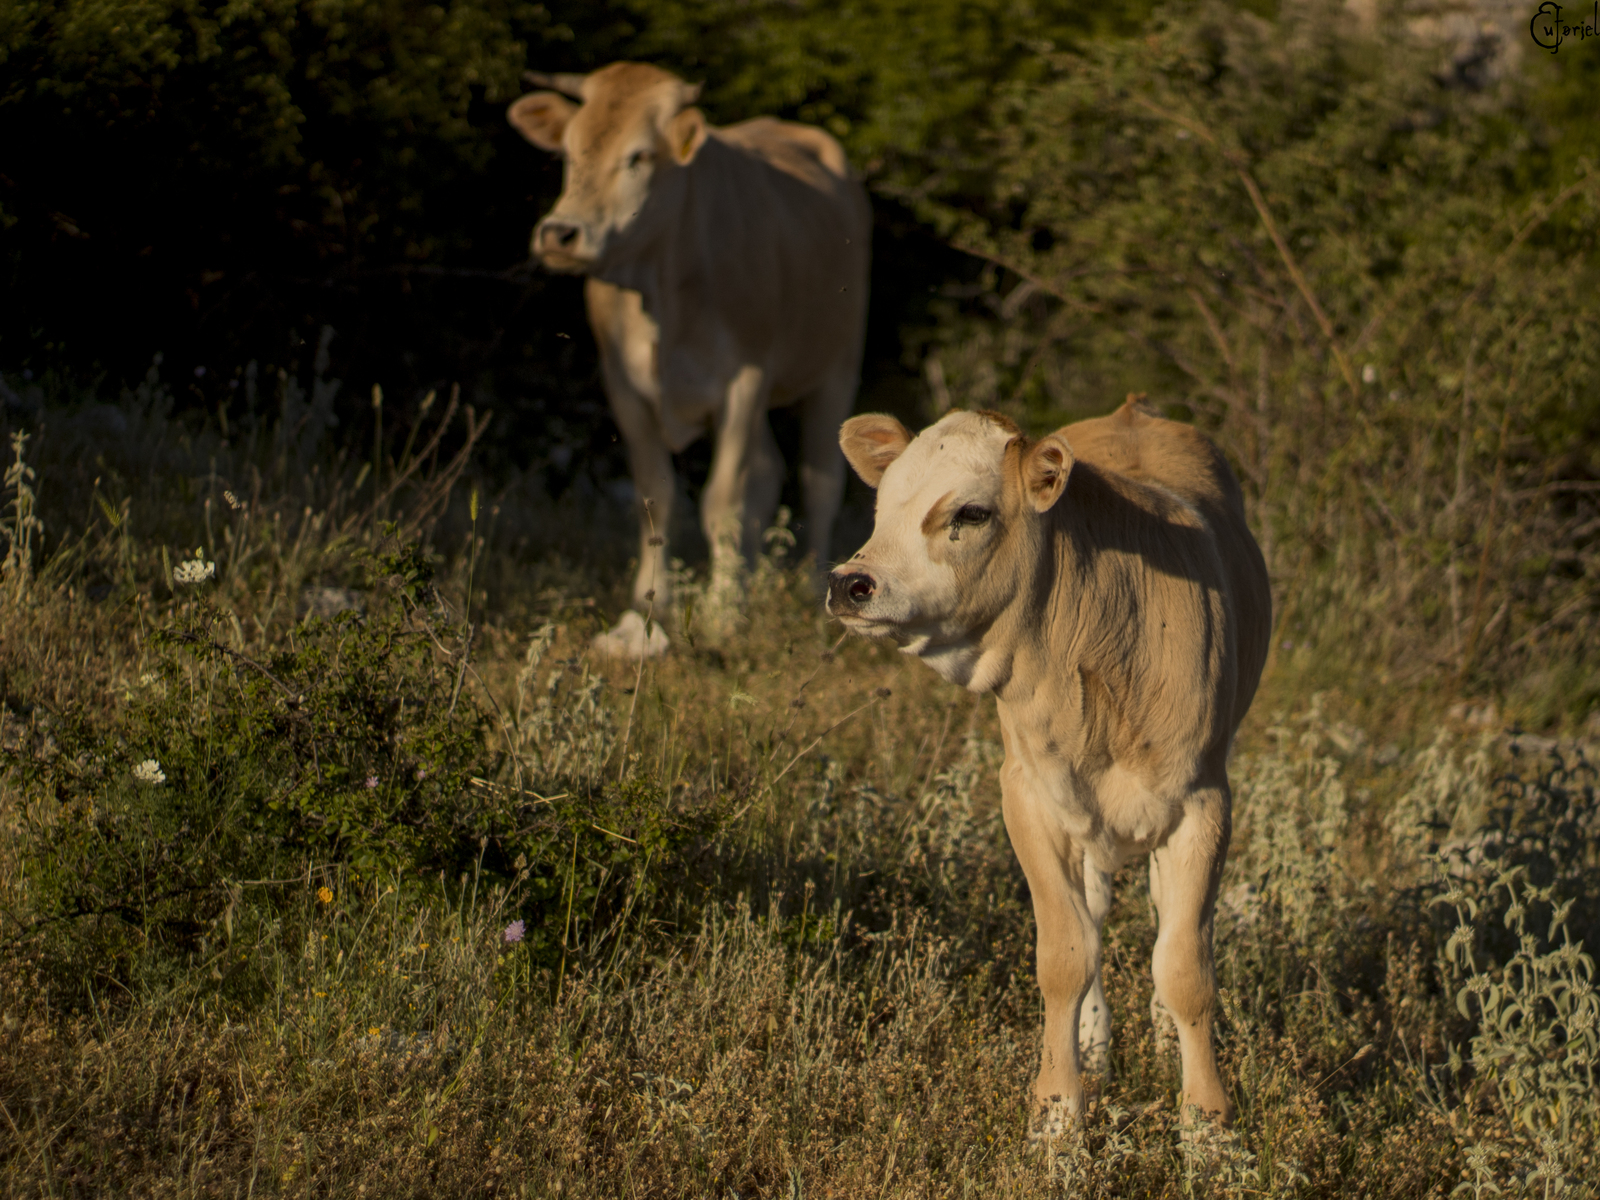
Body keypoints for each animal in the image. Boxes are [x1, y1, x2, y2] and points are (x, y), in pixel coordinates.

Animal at [505, 63, 870, 659]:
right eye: (569, 152)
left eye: (637, 156)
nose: (560, 233)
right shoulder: (623, 385)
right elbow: (658, 498)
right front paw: (649, 606)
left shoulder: (744, 379)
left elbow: (724, 502)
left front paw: (724, 613)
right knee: (767, 474)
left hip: (837, 368)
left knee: (819, 481)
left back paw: (813, 586)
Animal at [832, 401, 1267, 1139]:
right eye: (883, 506)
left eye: (971, 512)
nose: (849, 583)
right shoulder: (1030, 797)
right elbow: (1067, 955)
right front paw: (1059, 1117)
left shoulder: (1205, 802)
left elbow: (1185, 966)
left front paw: (1208, 1126)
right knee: (1093, 915)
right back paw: (1093, 1048)